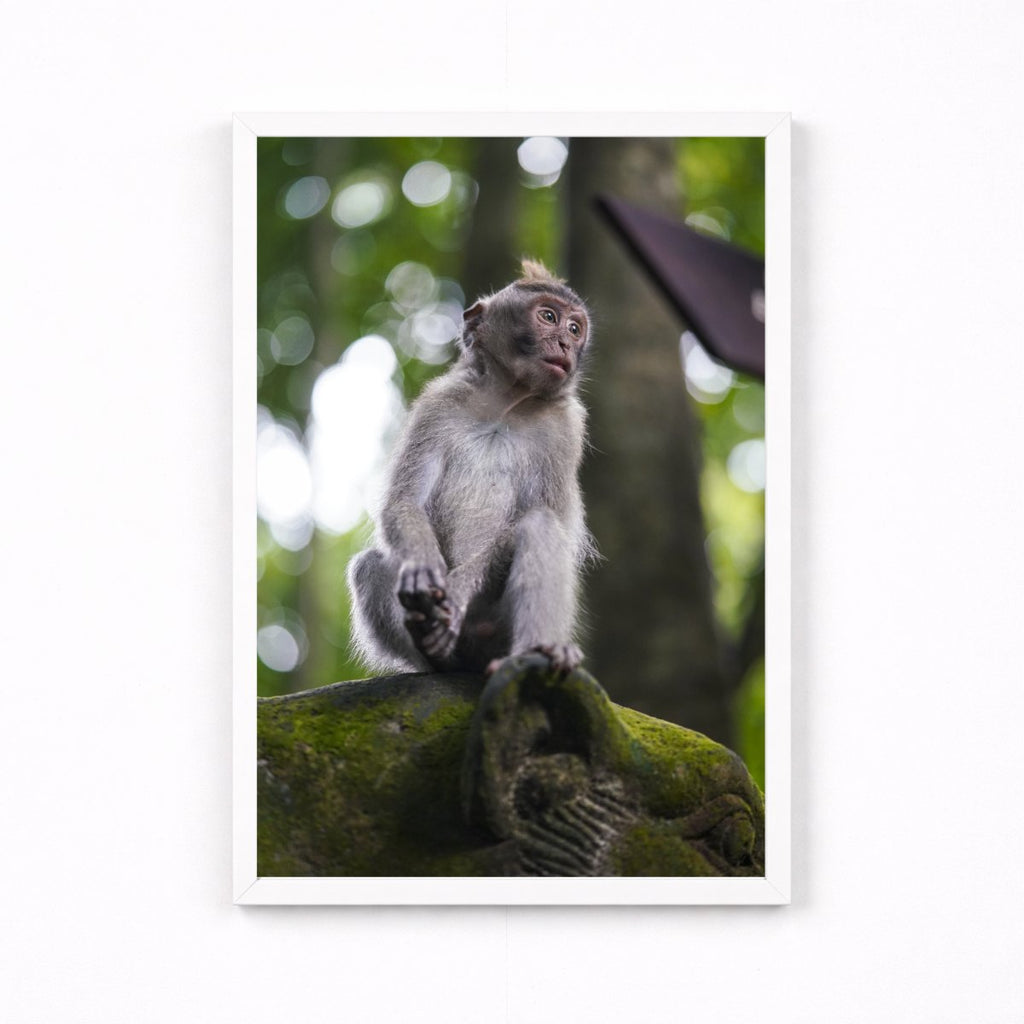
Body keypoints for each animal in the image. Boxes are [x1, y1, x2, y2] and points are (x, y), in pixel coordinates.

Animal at [347, 259, 594, 678]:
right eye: (549, 317)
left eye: (575, 329)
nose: (565, 344)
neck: (505, 404)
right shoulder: (438, 405)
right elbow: (404, 501)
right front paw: (422, 568)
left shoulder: (564, 430)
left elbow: (544, 517)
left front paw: (458, 590)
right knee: (368, 565)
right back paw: (436, 652)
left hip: (497, 629)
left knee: (540, 526)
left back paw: (540, 651)